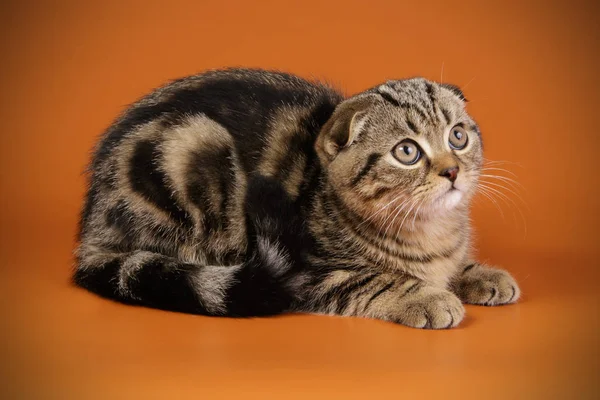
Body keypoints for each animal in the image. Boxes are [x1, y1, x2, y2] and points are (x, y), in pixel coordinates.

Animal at [74, 68, 520, 328]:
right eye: (407, 151)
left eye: (457, 136)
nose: (452, 170)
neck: (429, 233)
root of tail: (93, 225)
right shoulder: (309, 273)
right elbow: (376, 280)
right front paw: (429, 296)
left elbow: (453, 266)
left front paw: (479, 274)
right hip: (194, 146)